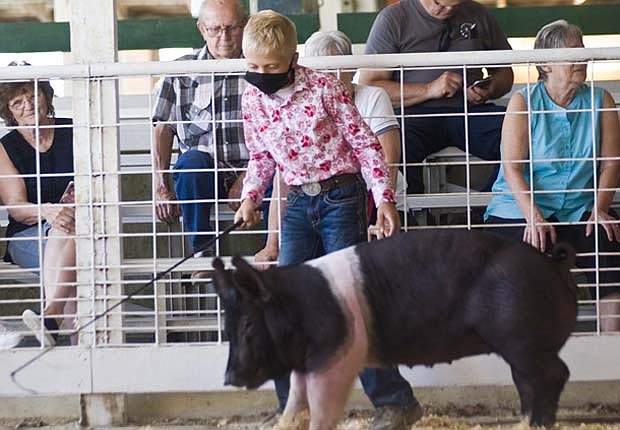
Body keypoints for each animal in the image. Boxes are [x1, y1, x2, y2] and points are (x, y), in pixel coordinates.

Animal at [212, 230, 576, 428]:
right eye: (228, 326)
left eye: (248, 324)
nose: (228, 378)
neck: (299, 305)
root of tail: (552, 263)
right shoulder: (306, 363)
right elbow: (295, 402)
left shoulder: (337, 355)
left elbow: (322, 407)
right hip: (522, 347)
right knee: (528, 383)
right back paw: (526, 423)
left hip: (522, 338)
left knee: (553, 374)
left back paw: (539, 424)